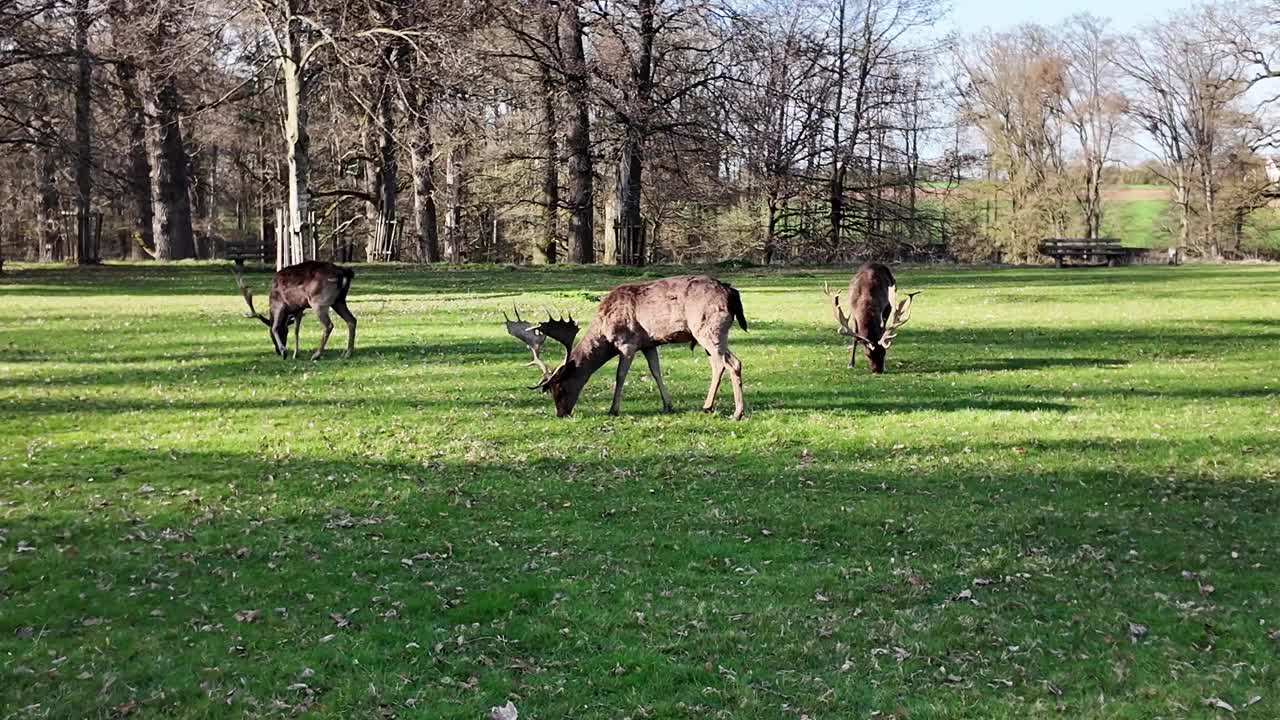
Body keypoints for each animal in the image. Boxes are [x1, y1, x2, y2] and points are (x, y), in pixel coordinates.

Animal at [501, 275, 747, 420]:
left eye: (560, 387)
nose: (561, 413)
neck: (604, 333)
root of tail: (731, 293)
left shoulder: (627, 343)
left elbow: (620, 376)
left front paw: (613, 409)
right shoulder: (649, 344)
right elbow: (656, 372)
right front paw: (668, 405)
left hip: (708, 328)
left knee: (730, 362)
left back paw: (734, 411)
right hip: (710, 332)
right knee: (720, 363)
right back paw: (711, 406)